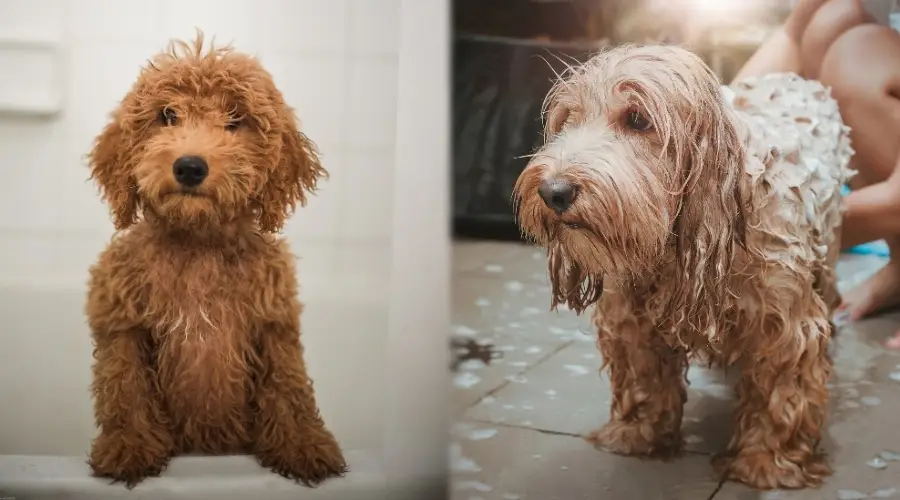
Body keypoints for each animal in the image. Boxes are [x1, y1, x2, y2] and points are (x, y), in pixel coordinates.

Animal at [84, 35, 346, 488]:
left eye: (235, 119)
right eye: (167, 115)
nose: (190, 166)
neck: (198, 245)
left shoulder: (273, 324)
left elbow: (288, 385)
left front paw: (302, 445)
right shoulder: (123, 323)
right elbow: (127, 386)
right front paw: (129, 446)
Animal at [512, 45, 852, 490]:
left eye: (638, 119)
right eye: (568, 118)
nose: (553, 191)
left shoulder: (784, 322)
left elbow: (781, 387)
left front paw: (766, 460)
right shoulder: (631, 316)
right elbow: (644, 375)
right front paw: (638, 433)